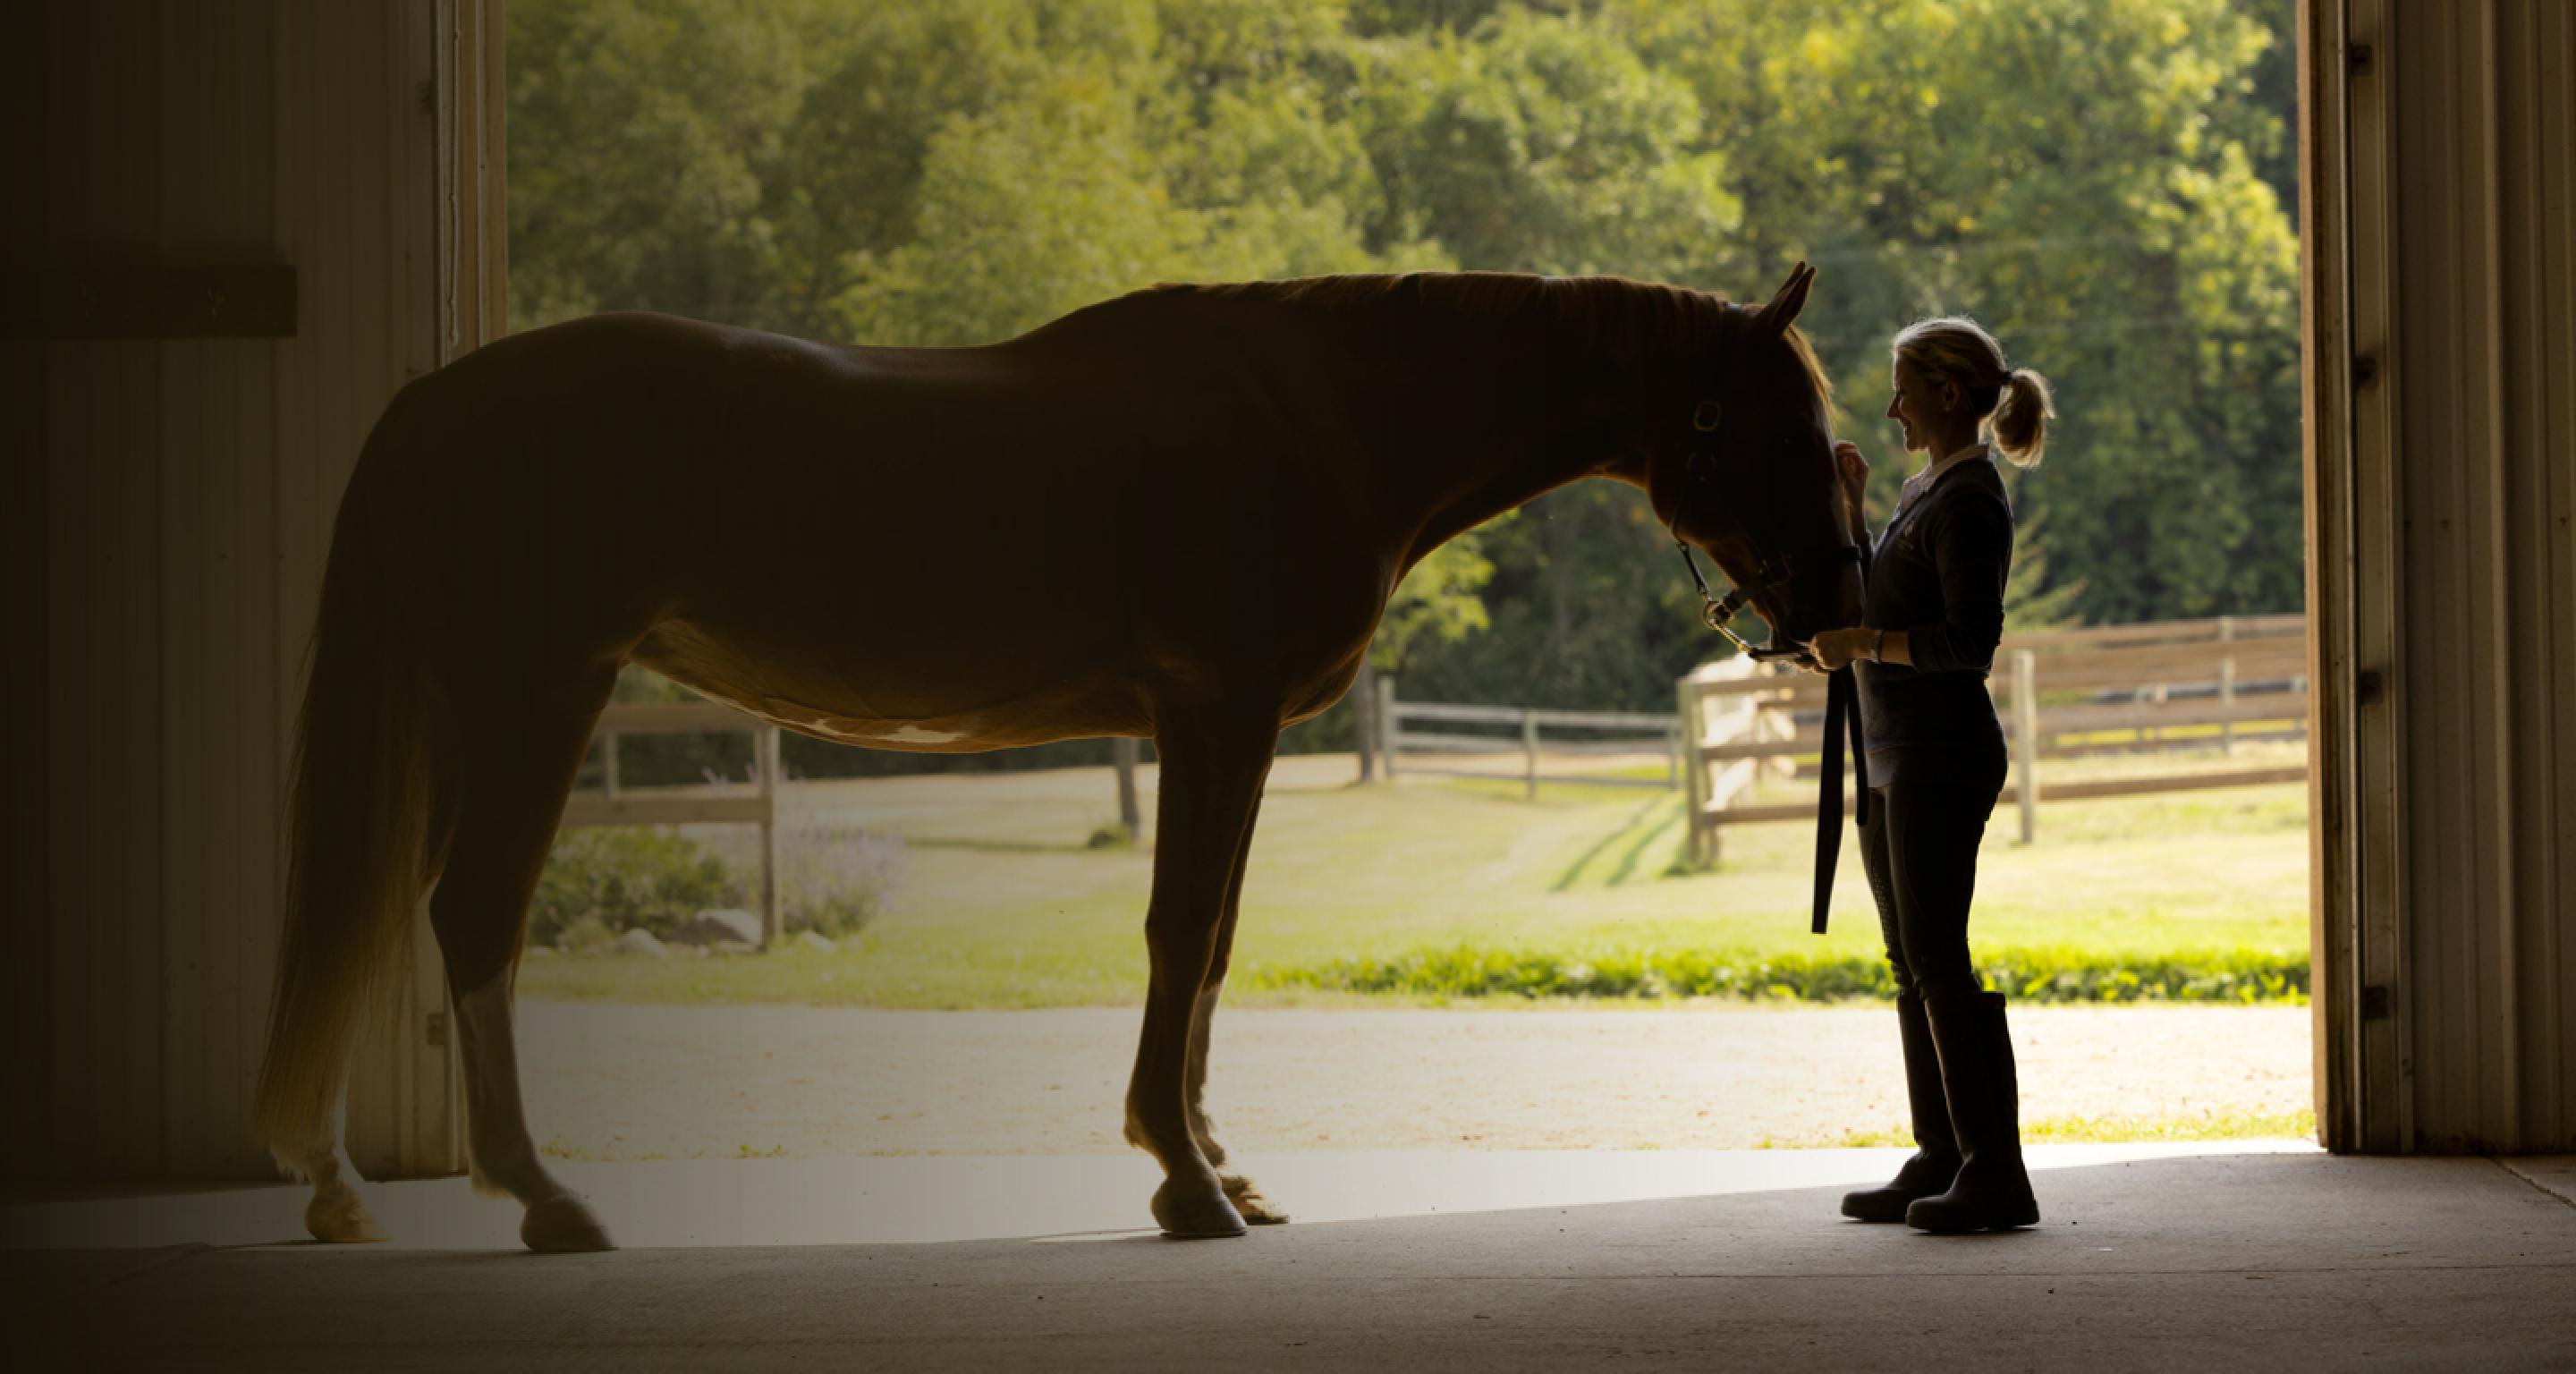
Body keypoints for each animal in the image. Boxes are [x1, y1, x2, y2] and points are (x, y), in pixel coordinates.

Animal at [250, 262, 1865, 1247]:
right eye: (1772, 425)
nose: (1831, 603)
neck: (1320, 420)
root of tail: (434, 400)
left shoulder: (1225, 733)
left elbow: (1211, 948)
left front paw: (1218, 1168)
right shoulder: (1216, 715)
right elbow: (1179, 937)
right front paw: (1188, 1183)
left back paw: (341, 1185)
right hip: (536, 690)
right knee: (471, 917)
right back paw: (545, 1199)